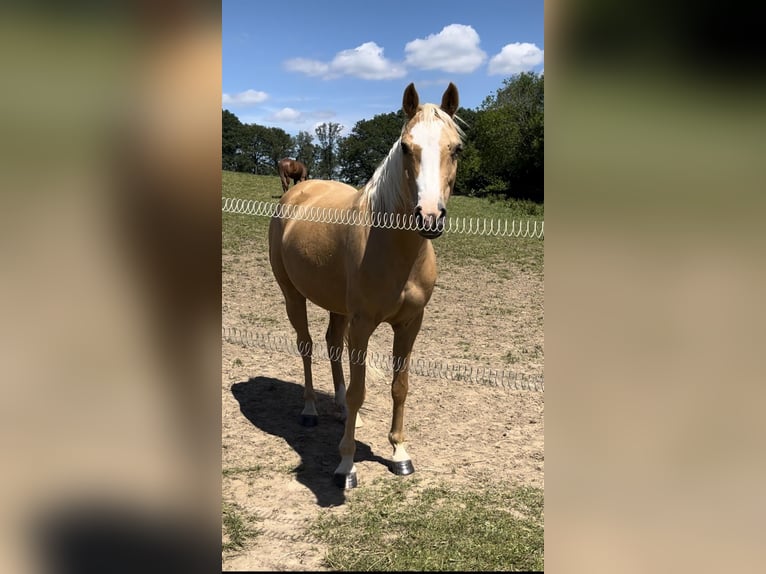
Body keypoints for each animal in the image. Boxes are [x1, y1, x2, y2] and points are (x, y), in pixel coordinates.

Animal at [270, 82, 462, 490]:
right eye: (405, 147)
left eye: (456, 148)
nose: (429, 217)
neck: (393, 247)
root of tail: (297, 191)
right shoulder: (362, 325)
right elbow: (360, 389)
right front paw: (346, 465)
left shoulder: (410, 324)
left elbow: (399, 386)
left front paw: (400, 453)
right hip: (293, 296)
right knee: (306, 346)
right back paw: (310, 410)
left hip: (337, 307)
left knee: (331, 346)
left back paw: (343, 411)